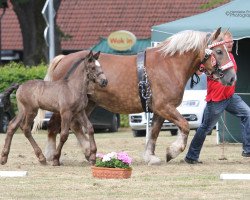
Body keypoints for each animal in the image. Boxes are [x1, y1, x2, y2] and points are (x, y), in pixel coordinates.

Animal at [37, 28, 236, 166]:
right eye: (219, 52)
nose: (231, 77)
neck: (169, 65)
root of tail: (63, 59)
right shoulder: (165, 107)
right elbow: (185, 125)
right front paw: (172, 151)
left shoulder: (159, 109)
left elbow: (154, 132)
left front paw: (150, 156)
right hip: (67, 106)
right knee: (55, 127)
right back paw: (50, 155)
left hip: (87, 104)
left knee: (75, 126)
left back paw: (86, 152)